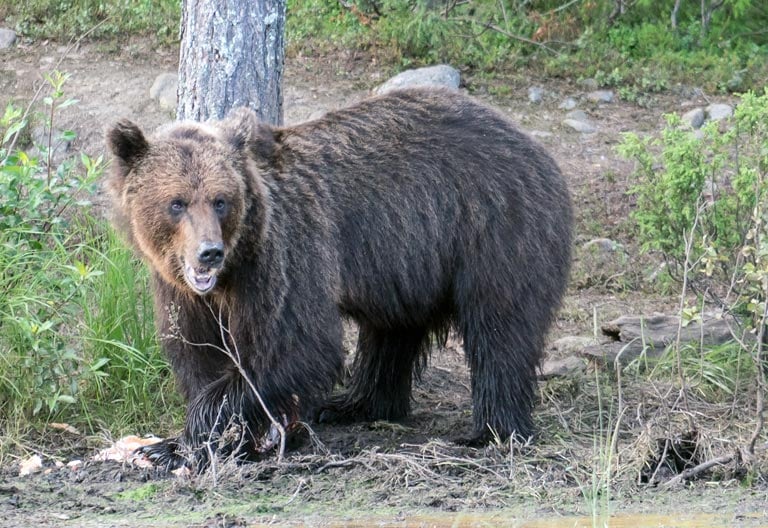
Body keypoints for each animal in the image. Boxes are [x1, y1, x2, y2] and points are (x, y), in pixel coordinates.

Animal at [109, 87, 576, 470]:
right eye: (177, 203)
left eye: (220, 200)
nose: (209, 252)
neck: (232, 272)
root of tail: (536, 148)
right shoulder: (180, 290)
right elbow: (197, 352)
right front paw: (204, 438)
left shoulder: (284, 255)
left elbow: (295, 345)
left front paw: (176, 444)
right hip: (406, 258)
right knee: (392, 334)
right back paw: (355, 404)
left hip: (495, 228)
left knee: (499, 328)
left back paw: (491, 431)